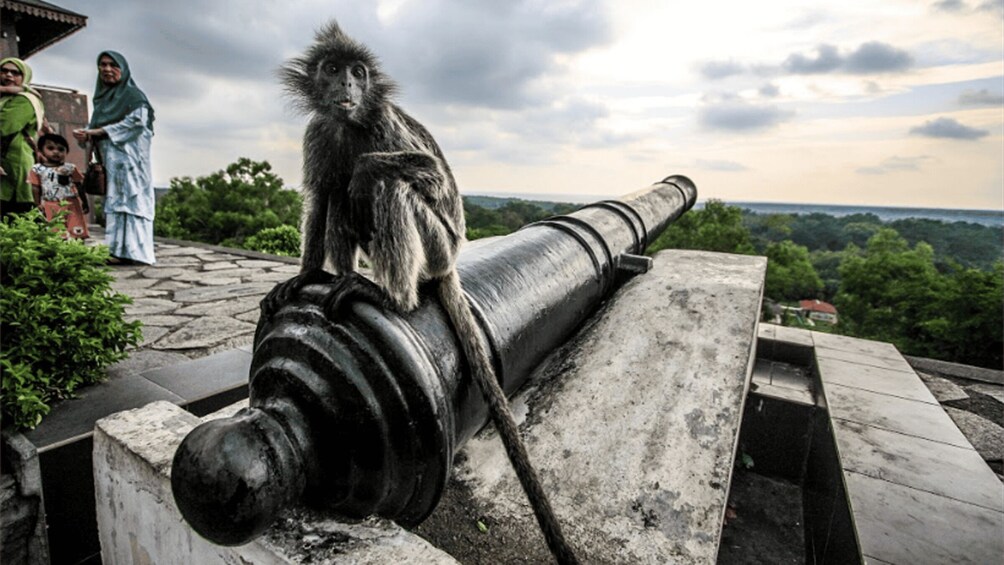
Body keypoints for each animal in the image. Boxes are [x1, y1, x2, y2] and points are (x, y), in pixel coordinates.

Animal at [262, 21, 579, 564]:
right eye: (333, 69)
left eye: (359, 73)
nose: (348, 86)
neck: (349, 124)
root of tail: (451, 262)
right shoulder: (319, 133)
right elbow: (322, 194)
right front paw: (304, 277)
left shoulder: (384, 125)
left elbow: (421, 171)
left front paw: (367, 168)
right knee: (342, 198)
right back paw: (337, 281)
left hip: (436, 245)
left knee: (387, 186)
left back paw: (391, 297)